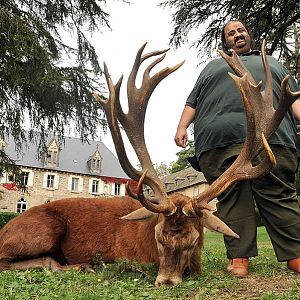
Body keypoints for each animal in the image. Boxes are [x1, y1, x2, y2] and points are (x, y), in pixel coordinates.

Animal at [0, 41, 300, 288]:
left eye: (194, 240)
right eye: (158, 236)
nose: (165, 281)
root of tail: (4, 230)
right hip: (43, 228)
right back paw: (79, 266)